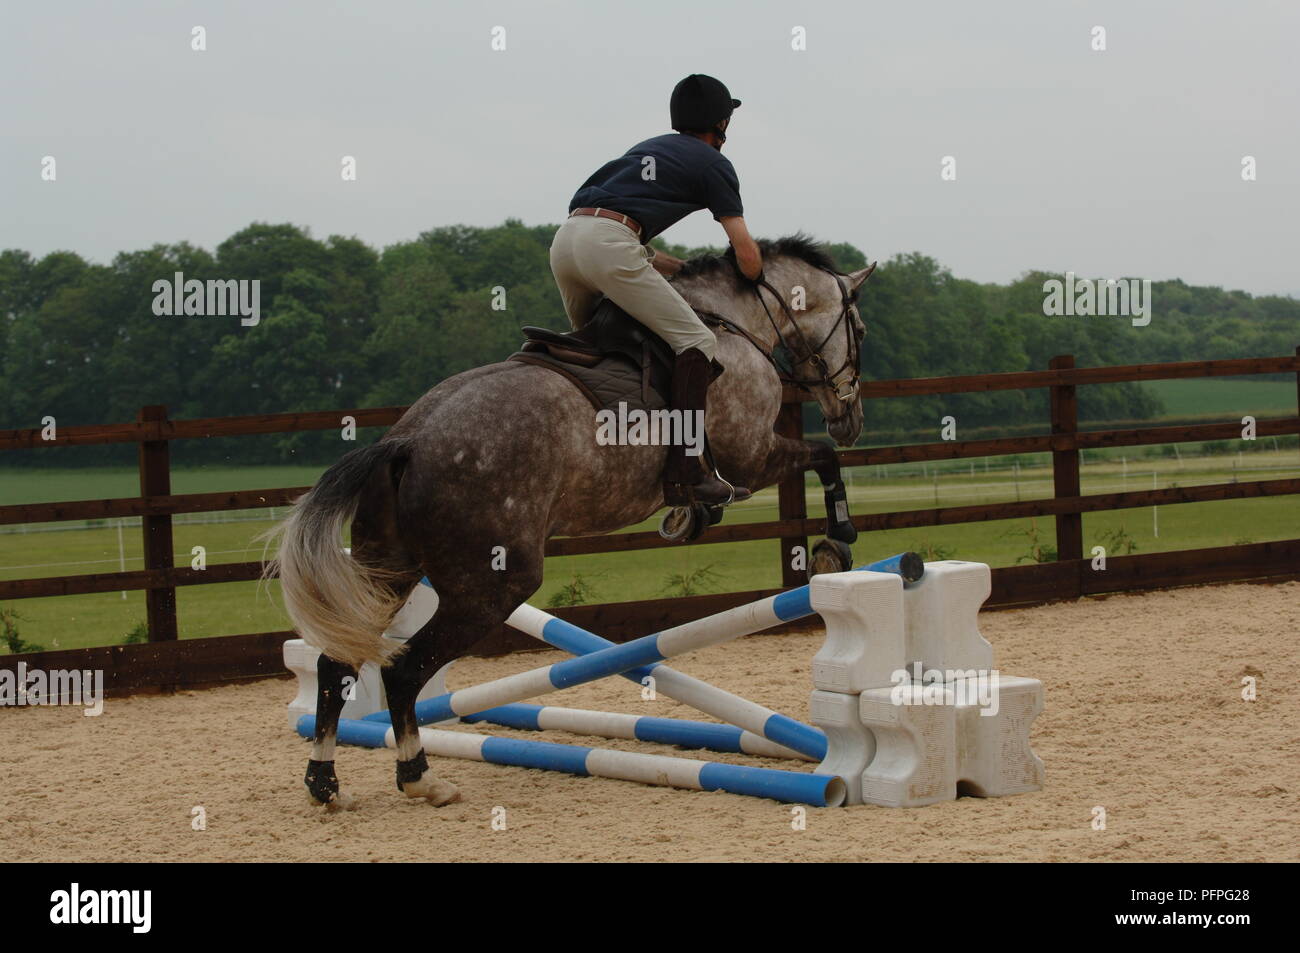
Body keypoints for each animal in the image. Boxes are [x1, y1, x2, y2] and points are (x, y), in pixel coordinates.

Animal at [266, 234, 873, 806]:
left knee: (337, 666)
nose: (850, 420)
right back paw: (421, 780)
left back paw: (325, 783)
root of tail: (405, 442)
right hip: (493, 584)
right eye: (861, 331)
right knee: (404, 669)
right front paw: (835, 543)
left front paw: (696, 514)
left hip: (389, 571)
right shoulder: (752, 454)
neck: (737, 322)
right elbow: (823, 458)